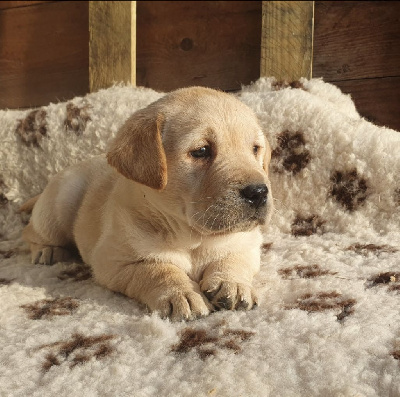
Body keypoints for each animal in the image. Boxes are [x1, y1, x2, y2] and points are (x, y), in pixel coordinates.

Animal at [22, 86, 272, 318]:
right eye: (201, 151)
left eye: (255, 149)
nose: (259, 192)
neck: (191, 238)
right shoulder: (114, 261)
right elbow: (157, 269)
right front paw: (182, 294)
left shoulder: (247, 244)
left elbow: (233, 260)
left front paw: (234, 285)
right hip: (60, 203)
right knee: (33, 230)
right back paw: (47, 250)